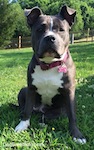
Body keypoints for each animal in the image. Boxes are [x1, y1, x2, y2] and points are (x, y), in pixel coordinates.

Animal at [14, 5, 86, 144]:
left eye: (61, 30)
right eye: (40, 29)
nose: (50, 37)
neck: (49, 64)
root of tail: (40, 109)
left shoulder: (69, 91)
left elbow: (72, 116)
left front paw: (77, 135)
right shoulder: (31, 89)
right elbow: (27, 110)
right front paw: (22, 125)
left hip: (60, 108)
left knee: (46, 116)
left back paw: (42, 121)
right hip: (23, 90)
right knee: (26, 109)